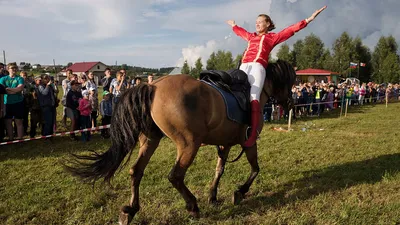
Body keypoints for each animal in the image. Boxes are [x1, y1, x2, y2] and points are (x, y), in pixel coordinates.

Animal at [66, 59, 296, 223]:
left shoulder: (225, 144)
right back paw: (192, 206)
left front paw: (213, 196)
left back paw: (130, 210)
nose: (290, 104)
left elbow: (219, 170)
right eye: (290, 82)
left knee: (136, 171)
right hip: (188, 144)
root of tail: (153, 87)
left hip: (150, 141)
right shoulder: (249, 142)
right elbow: (255, 168)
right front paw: (239, 192)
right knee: (175, 176)